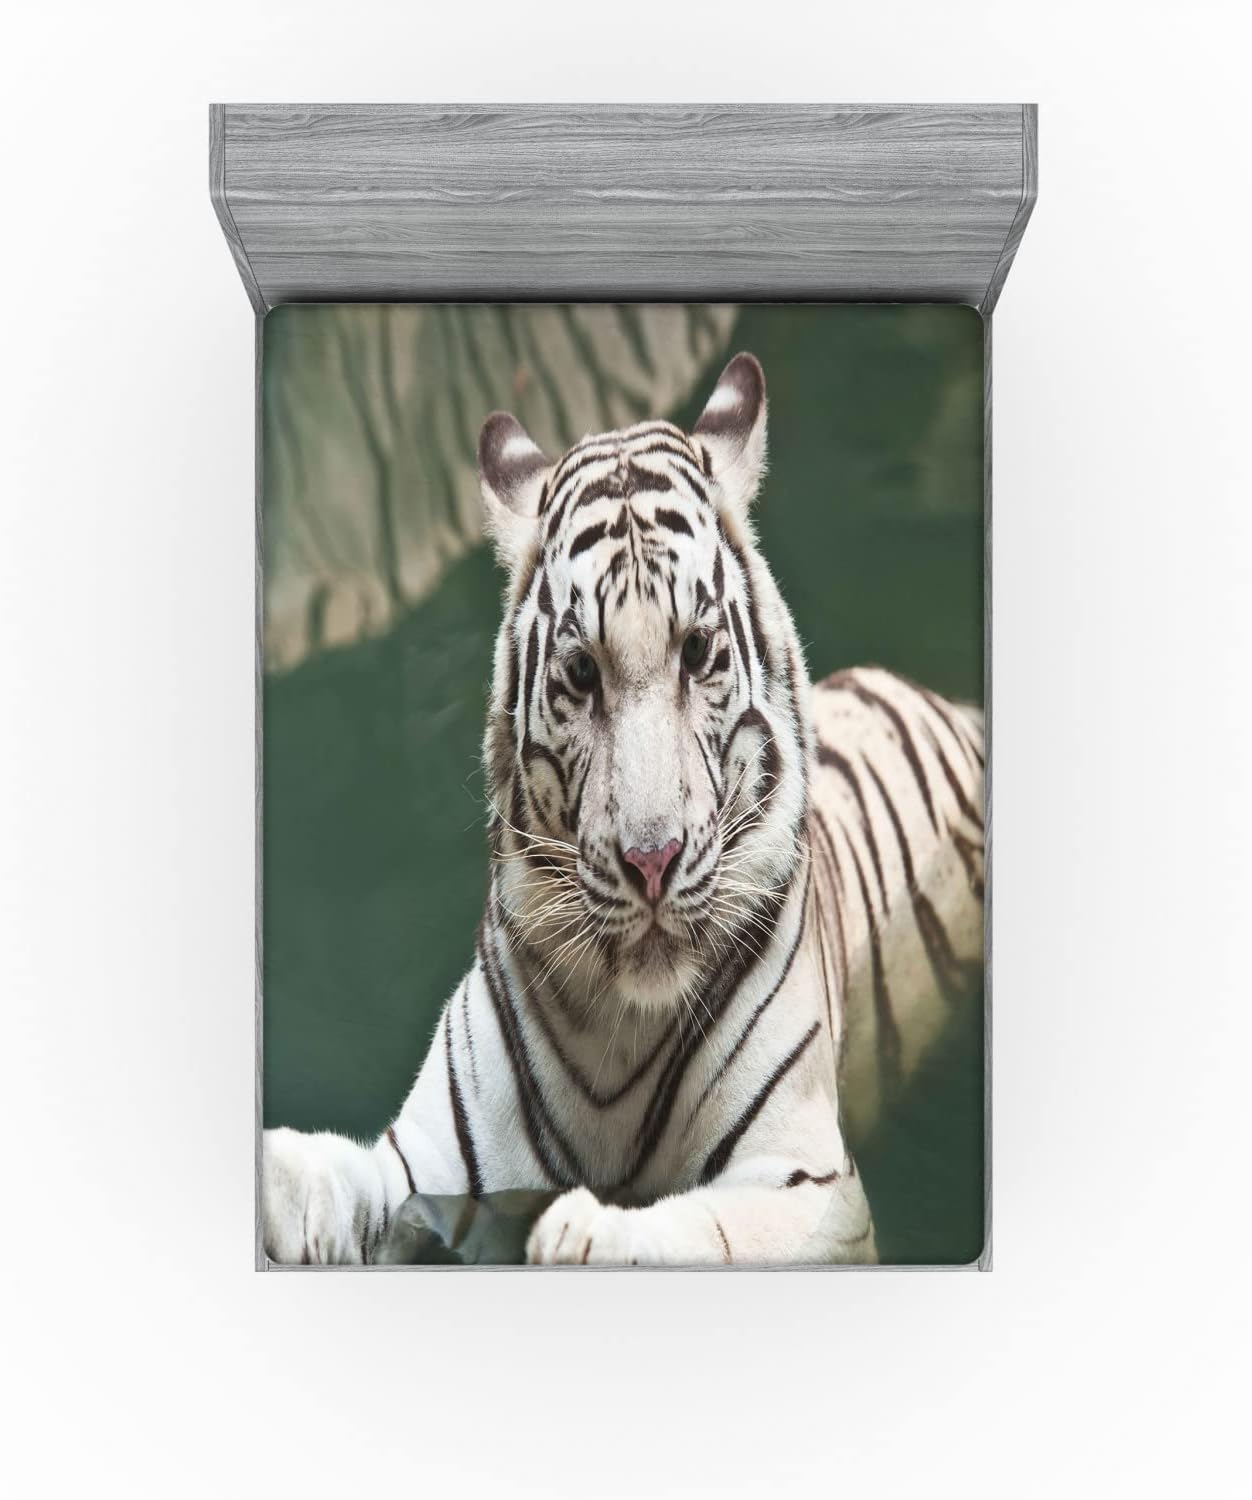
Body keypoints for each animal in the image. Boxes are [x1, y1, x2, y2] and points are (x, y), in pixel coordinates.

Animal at [261, 352, 985, 1267]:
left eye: (698, 653)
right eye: (581, 674)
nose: (651, 860)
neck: (616, 1025)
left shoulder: (814, 1191)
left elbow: (700, 1227)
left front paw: (577, 1229)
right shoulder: (425, 1161)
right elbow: (330, 1179)